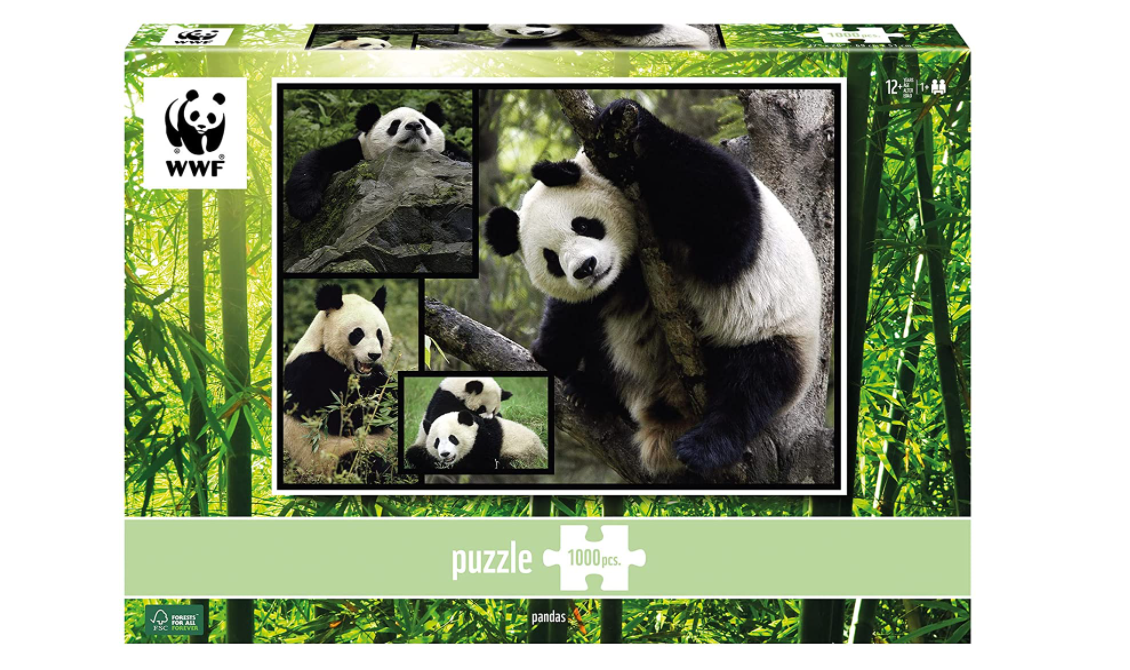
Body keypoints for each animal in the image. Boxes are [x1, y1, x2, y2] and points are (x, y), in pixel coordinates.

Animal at [282, 283, 396, 483]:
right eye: (357, 333)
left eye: (379, 334)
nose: (374, 355)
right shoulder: (307, 371)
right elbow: (340, 416)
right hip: (328, 459)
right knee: (363, 463)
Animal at [285, 101, 470, 222]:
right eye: (395, 124)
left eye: (424, 123)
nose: (414, 125)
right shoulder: (356, 150)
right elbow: (317, 160)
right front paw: (305, 207)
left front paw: (454, 156)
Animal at [405, 411, 546, 473]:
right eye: (437, 442)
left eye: (452, 438)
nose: (445, 454)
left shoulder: (486, 441)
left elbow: (479, 463)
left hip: (524, 453)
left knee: (510, 464)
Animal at [484, 98, 821, 477]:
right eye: (552, 260)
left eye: (583, 225)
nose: (586, 268)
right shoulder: (605, 286)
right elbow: (571, 314)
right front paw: (549, 355)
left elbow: (727, 222)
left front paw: (621, 118)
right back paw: (592, 392)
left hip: (775, 330)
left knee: (755, 383)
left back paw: (704, 446)